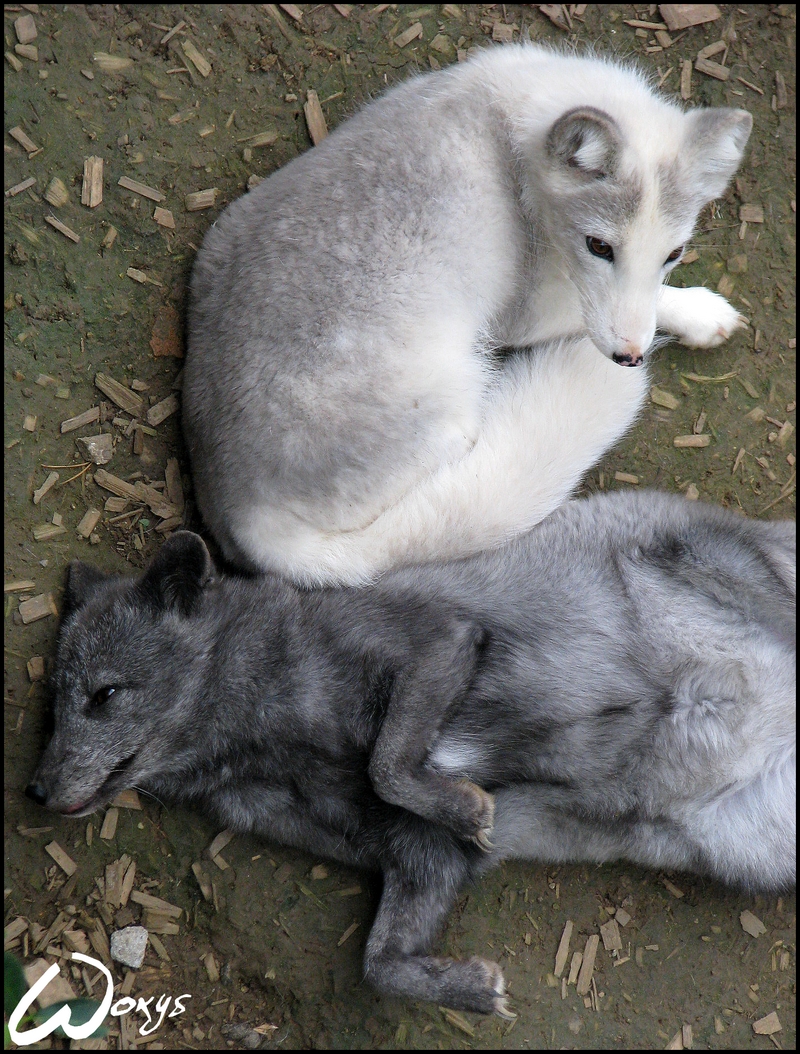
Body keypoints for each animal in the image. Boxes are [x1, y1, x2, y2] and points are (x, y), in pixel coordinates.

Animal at [27, 491, 795, 1016]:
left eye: (104, 693)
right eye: (54, 705)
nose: (34, 791)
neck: (264, 736)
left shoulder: (440, 641)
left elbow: (389, 764)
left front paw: (464, 803)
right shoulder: (422, 857)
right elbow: (380, 964)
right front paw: (473, 989)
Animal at [183, 44, 752, 586]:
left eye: (673, 253)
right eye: (599, 246)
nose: (630, 358)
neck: (515, 133)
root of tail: (243, 517)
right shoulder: (525, 314)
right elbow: (627, 309)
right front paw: (698, 313)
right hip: (453, 404)